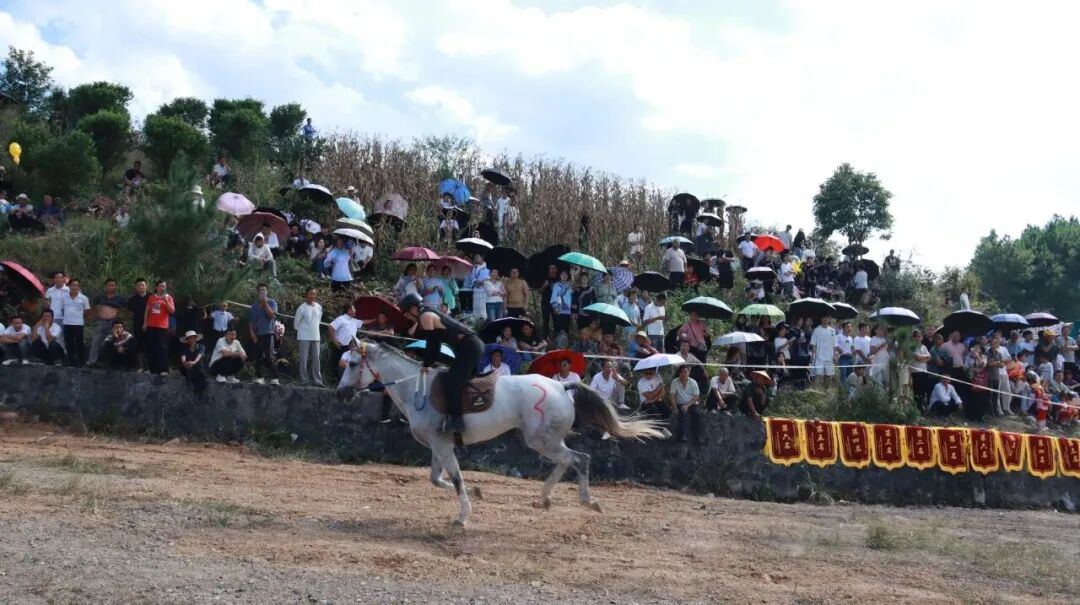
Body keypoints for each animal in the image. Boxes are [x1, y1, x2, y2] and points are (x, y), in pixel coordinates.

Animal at [352, 339, 667, 527]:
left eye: (353, 364)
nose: (345, 390)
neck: (416, 390)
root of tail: (561, 386)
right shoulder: (438, 446)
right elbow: (437, 479)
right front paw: (477, 493)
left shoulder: (442, 446)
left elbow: (455, 479)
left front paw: (463, 516)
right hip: (547, 440)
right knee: (570, 460)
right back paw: (545, 498)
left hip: (542, 440)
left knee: (580, 459)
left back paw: (586, 501)